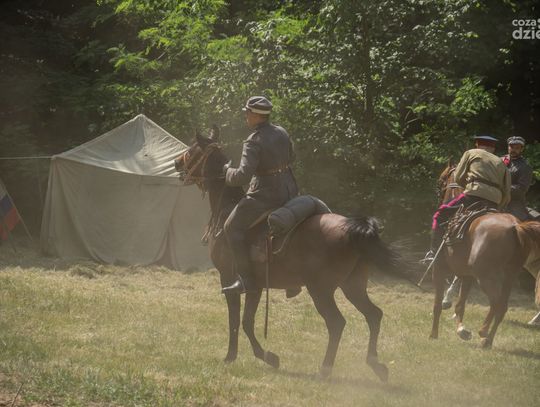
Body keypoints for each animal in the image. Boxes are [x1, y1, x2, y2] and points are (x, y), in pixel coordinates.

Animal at [174, 128, 403, 382]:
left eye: (193, 149)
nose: (176, 163)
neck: (226, 209)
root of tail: (354, 229)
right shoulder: (256, 286)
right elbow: (247, 321)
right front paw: (263, 356)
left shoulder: (230, 278)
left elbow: (237, 320)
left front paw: (240, 356)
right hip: (352, 286)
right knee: (373, 315)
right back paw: (376, 365)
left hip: (321, 290)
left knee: (336, 323)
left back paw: (325, 369)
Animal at [430, 164, 540, 347]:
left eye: (441, 181)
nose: (440, 199)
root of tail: (515, 227)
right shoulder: (467, 274)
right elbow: (460, 302)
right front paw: (461, 328)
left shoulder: (441, 269)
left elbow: (439, 302)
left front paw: (435, 332)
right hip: (510, 275)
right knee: (502, 306)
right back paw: (487, 340)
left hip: (486, 277)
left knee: (496, 303)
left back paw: (483, 332)